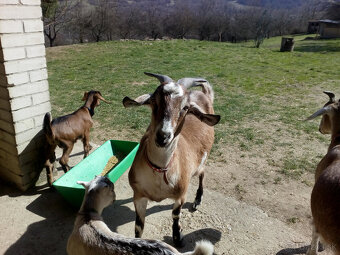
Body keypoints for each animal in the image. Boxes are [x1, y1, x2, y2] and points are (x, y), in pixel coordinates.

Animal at [122, 72, 220, 247]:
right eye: (153, 100)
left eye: (186, 108)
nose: (163, 136)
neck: (159, 171)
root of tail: (204, 94)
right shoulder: (138, 195)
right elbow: (138, 226)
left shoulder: (180, 195)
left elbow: (175, 217)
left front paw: (177, 238)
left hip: (203, 158)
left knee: (202, 173)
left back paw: (197, 200)